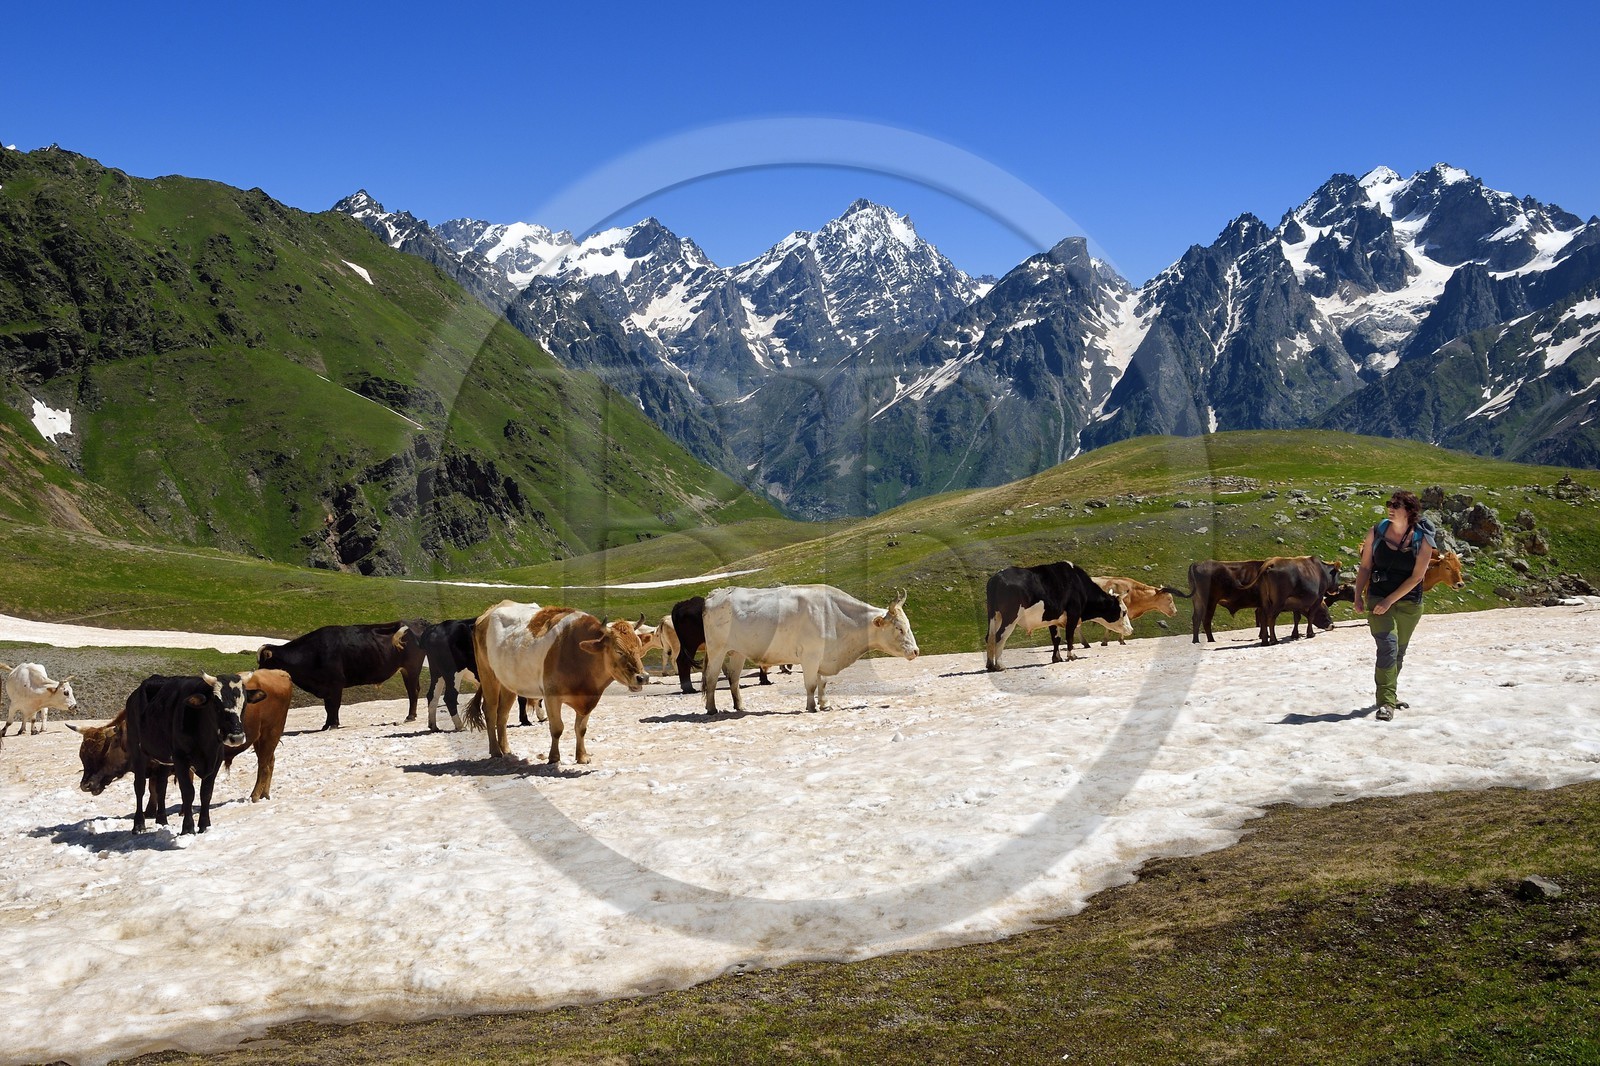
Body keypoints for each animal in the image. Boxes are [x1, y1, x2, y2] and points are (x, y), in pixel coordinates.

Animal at [124, 674, 257, 834]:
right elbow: (188, 792)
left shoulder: (216, 760)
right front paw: (188, 828)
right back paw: (138, 825)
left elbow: (206, 793)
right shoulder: (181, 759)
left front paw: (205, 825)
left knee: (161, 786)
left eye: (244, 704)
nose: (237, 737)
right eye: (216, 704)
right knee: (139, 786)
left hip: (163, 759)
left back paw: (162, 821)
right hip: (137, 750)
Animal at [258, 619, 428, 730]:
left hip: (411, 668)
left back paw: (410, 716)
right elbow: (328, 707)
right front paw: (326, 724)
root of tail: (416, 622)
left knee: (413, 691)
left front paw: (333, 724)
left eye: (264, 664)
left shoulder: (336, 684)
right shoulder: (326, 687)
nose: (256, 676)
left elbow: (334, 705)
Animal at [466, 602, 649, 764]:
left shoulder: (589, 698)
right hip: (488, 675)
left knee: (502, 715)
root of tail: (489, 612)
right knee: (490, 711)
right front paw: (554, 758)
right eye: (618, 651)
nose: (643, 677)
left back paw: (506, 749)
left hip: (508, 682)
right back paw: (496, 751)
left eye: (639, 647)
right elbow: (557, 728)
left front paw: (582, 756)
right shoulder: (551, 696)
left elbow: (581, 729)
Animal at [701, 585, 919, 714]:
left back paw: (740, 706)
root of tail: (716, 594)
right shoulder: (810, 656)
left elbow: (822, 683)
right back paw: (711, 709)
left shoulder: (823, 656)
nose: (916, 651)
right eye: (899, 628)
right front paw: (812, 707)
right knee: (712, 678)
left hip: (737, 652)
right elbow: (811, 685)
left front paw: (824, 704)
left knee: (734, 679)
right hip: (717, 649)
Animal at [985, 563, 1129, 671]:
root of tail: (996, 578)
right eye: (1124, 611)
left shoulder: (1053, 618)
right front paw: (1071, 655)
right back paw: (1000, 665)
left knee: (990, 637)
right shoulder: (1073, 614)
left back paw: (990, 665)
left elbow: (1056, 638)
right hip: (1010, 617)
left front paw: (1057, 658)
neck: (1078, 583)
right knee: (999, 636)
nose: (1131, 630)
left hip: (994, 616)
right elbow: (1069, 636)